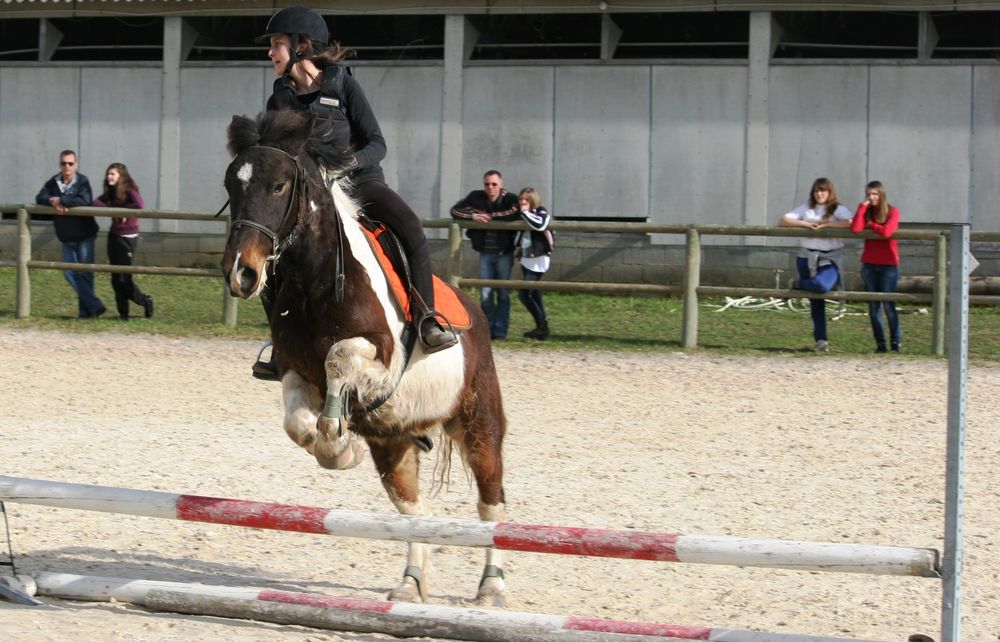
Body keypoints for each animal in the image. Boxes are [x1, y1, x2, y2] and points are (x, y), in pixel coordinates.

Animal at [220, 107, 508, 604]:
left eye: (278, 186)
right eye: (231, 186)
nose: (241, 273)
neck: (315, 282)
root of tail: (473, 309)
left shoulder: (381, 358)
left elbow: (339, 358)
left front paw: (338, 437)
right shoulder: (292, 369)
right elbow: (297, 423)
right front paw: (338, 449)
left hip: (479, 421)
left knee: (491, 502)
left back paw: (490, 587)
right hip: (394, 443)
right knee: (414, 509)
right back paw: (411, 584)